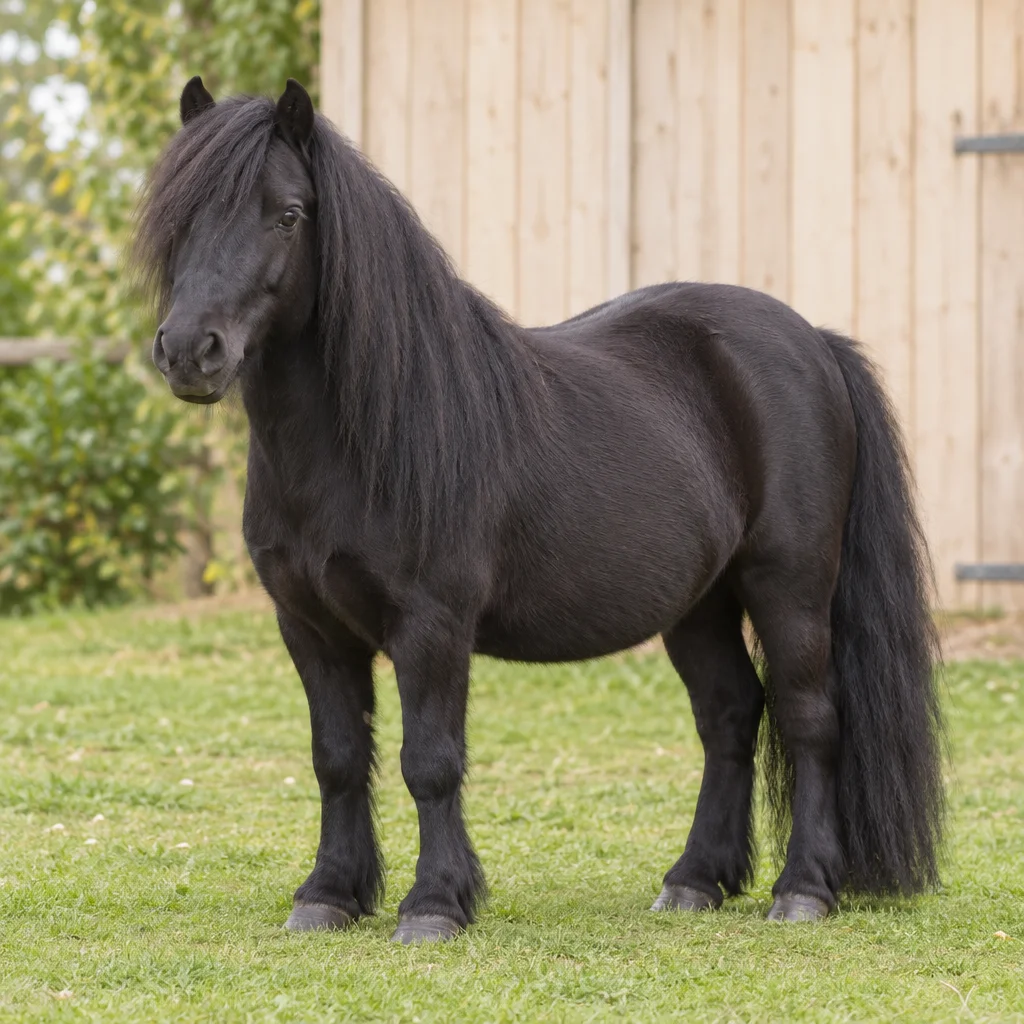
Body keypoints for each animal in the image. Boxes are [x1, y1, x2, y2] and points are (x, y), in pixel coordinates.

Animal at [134, 76, 945, 944]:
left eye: (287, 214)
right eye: (179, 217)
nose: (190, 351)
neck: (366, 435)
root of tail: (814, 341)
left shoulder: (432, 624)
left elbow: (430, 761)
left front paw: (435, 904)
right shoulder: (309, 627)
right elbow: (337, 757)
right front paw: (328, 895)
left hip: (788, 587)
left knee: (808, 717)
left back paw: (803, 891)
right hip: (698, 605)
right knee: (730, 716)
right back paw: (694, 880)